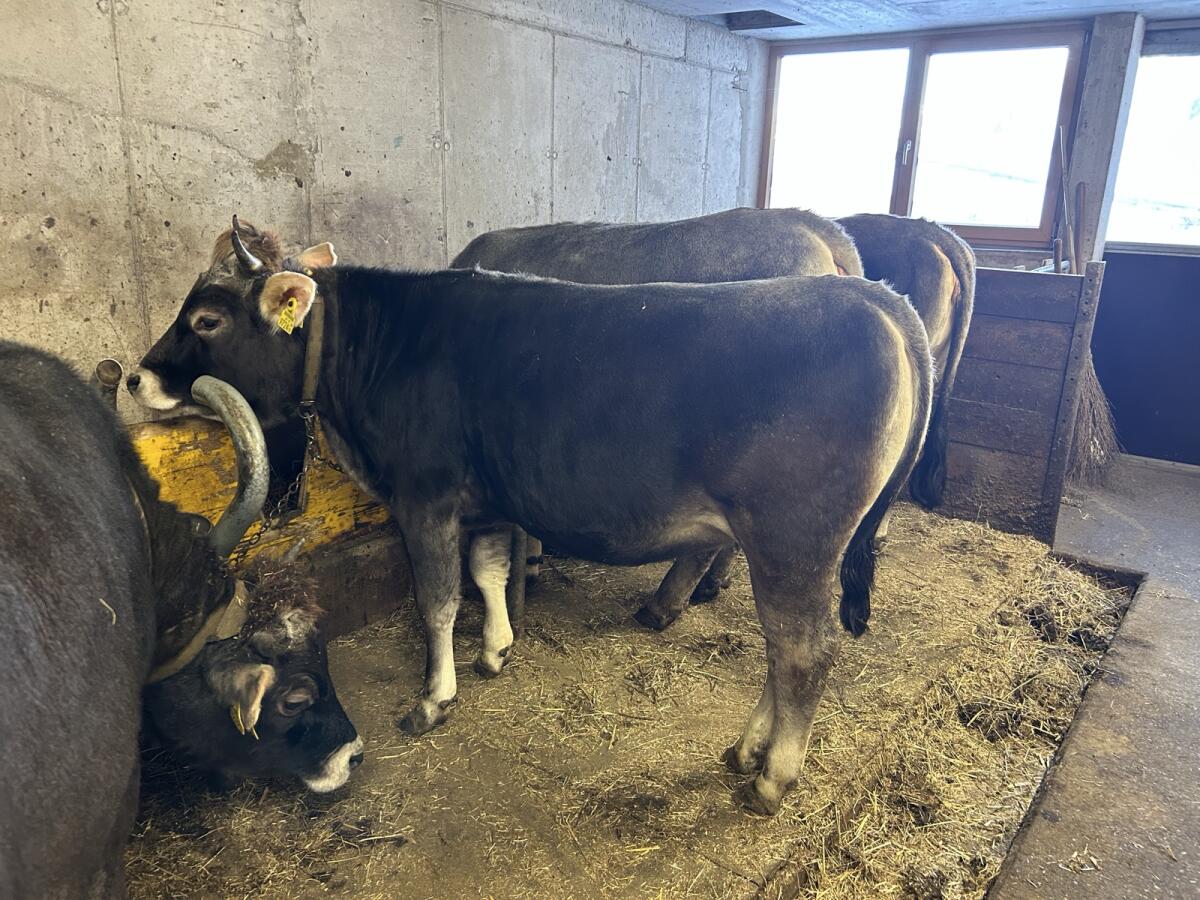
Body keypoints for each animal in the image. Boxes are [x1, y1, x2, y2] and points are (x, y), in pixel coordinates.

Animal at [129, 218, 931, 816]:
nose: (136, 376)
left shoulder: (424, 498)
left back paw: (770, 777)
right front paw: (496, 650)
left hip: (793, 544)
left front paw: (434, 698)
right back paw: (746, 751)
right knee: (781, 649)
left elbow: (437, 599)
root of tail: (871, 295)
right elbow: (487, 575)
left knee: (803, 654)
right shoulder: (487, 500)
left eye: (207, 317)